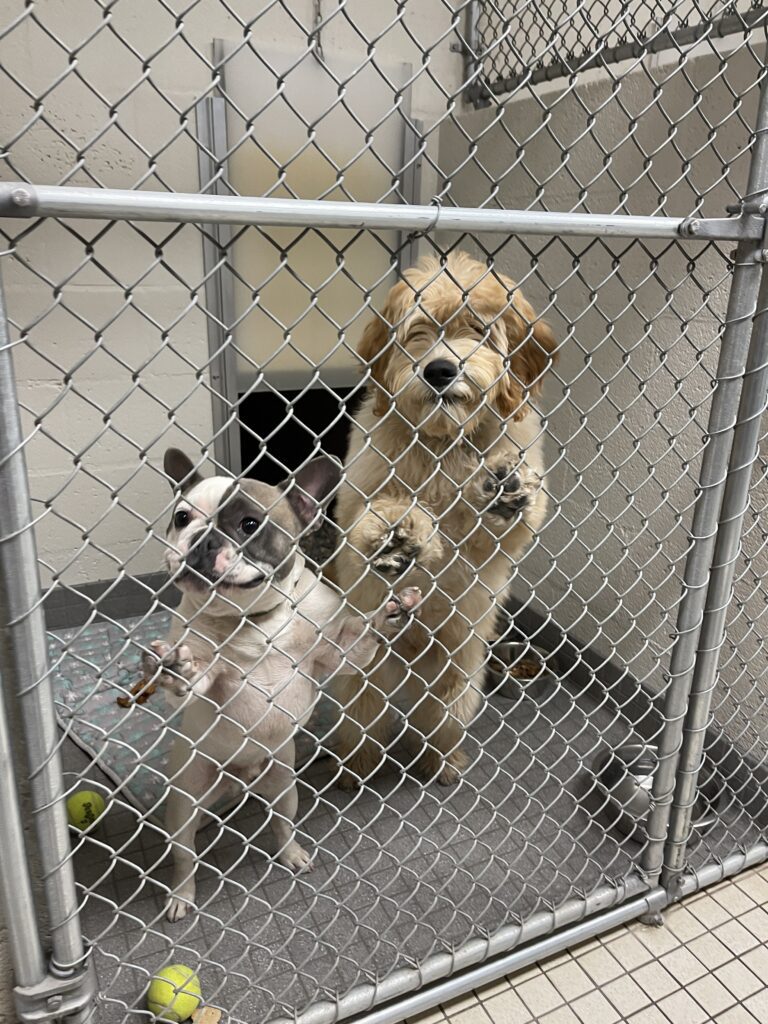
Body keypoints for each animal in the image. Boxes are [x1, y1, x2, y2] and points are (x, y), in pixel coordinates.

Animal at [331, 251, 561, 786]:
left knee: (439, 722)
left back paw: (445, 763)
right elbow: (377, 512)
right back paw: (356, 767)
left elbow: (503, 526)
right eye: (418, 331)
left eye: (478, 329)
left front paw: (505, 488)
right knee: (364, 722)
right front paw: (396, 530)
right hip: (363, 677)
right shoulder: (360, 493)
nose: (439, 369)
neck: (443, 443)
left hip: (458, 679)